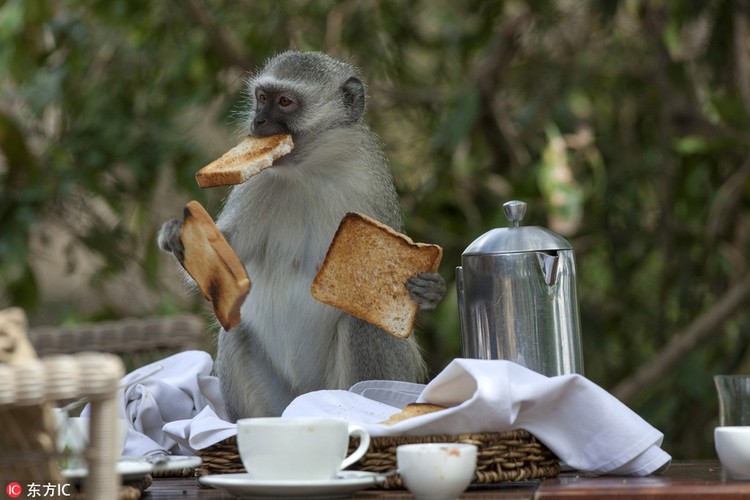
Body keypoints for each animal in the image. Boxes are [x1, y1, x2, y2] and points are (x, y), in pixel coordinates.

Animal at [159, 50, 446, 420]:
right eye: (261, 98)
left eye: (284, 102)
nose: (258, 122)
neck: (306, 170)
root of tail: (303, 400)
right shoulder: (254, 184)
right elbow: (225, 259)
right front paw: (179, 235)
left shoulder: (368, 182)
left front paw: (430, 289)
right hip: (279, 400)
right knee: (236, 332)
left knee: (363, 324)